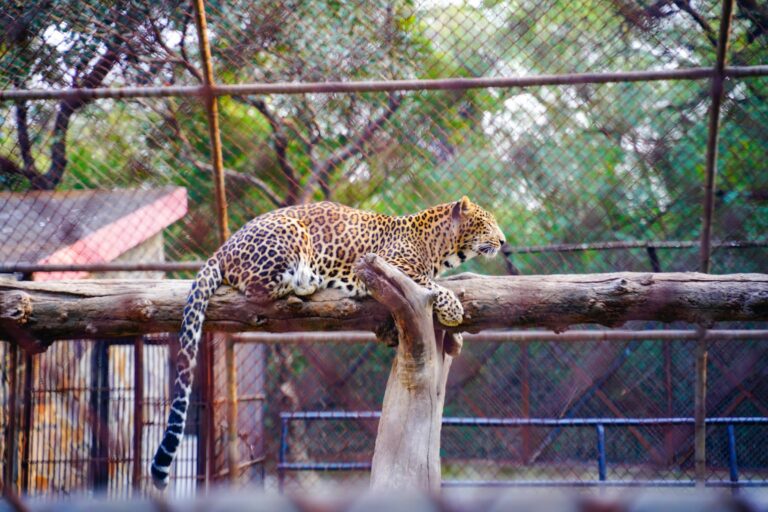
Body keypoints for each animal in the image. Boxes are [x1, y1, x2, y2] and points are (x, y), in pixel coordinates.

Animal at [150, 196, 505, 489]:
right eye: (487, 222)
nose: (503, 241)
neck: (440, 246)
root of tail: (222, 247)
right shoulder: (392, 265)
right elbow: (434, 286)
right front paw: (453, 308)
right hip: (290, 232)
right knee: (255, 287)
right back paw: (305, 282)